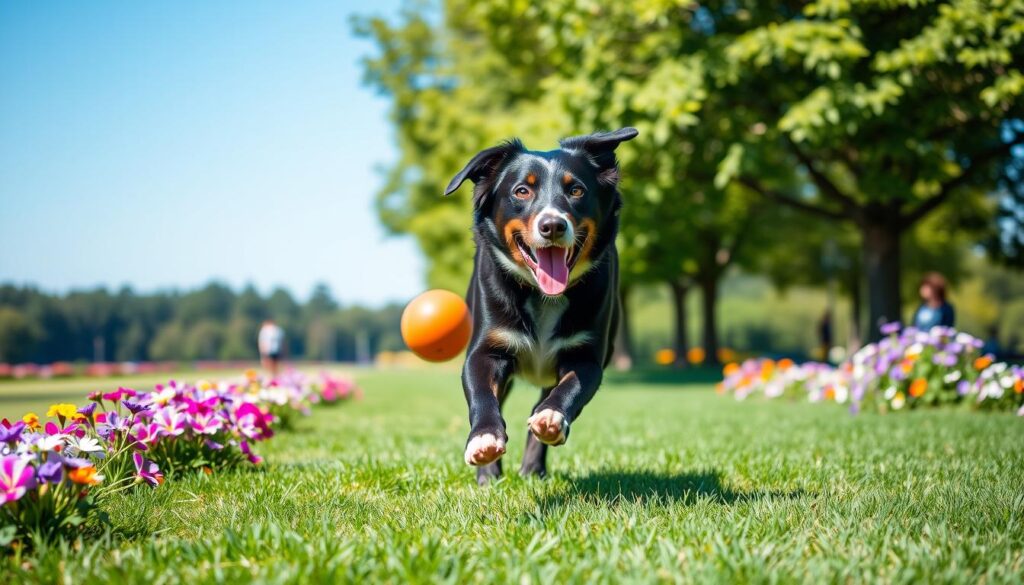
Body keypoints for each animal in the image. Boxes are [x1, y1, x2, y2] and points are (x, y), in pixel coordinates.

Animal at [444, 128, 634, 485]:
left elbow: (570, 389)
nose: (553, 225)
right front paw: (484, 440)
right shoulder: (487, 348)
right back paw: (490, 474)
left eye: (576, 190)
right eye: (522, 190)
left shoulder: (586, 356)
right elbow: (482, 394)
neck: (544, 295)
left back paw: (534, 462)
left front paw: (551, 418)